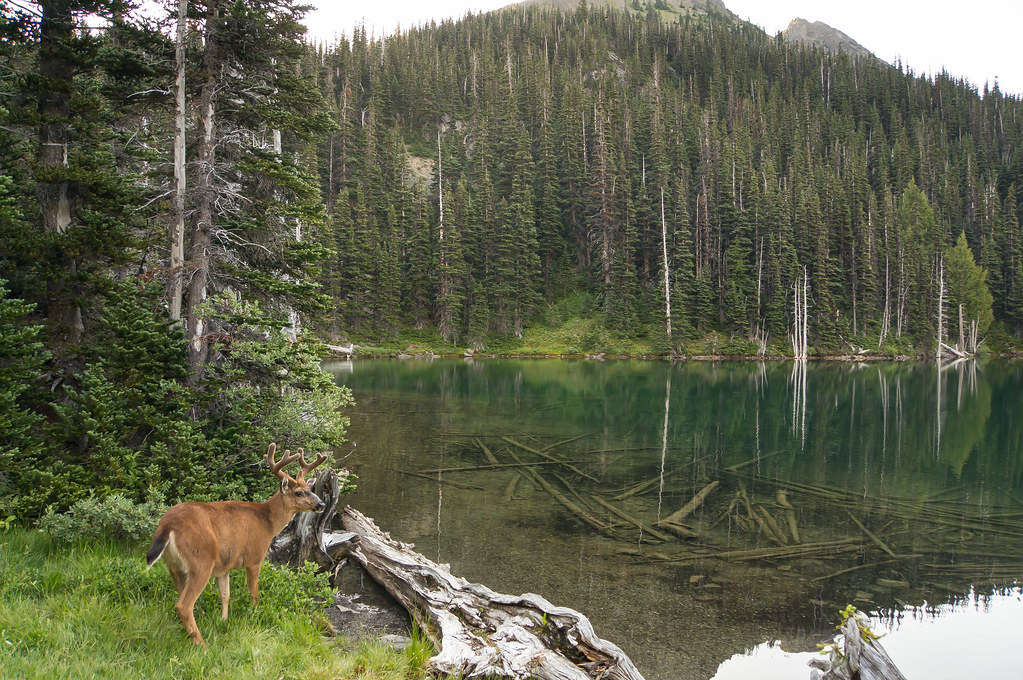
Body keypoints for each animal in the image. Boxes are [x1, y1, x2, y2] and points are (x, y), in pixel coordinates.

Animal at [145, 443, 328, 646]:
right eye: (298, 492)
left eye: (309, 489)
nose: (321, 504)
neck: (267, 522)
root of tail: (167, 526)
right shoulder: (255, 557)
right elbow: (254, 593)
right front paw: (254, 614)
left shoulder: (223, 566)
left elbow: (225, 595)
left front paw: (224, 620)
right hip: (201, 560)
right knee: (183, 605)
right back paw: (202, 644)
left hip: (174, 566)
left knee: (181, 597)